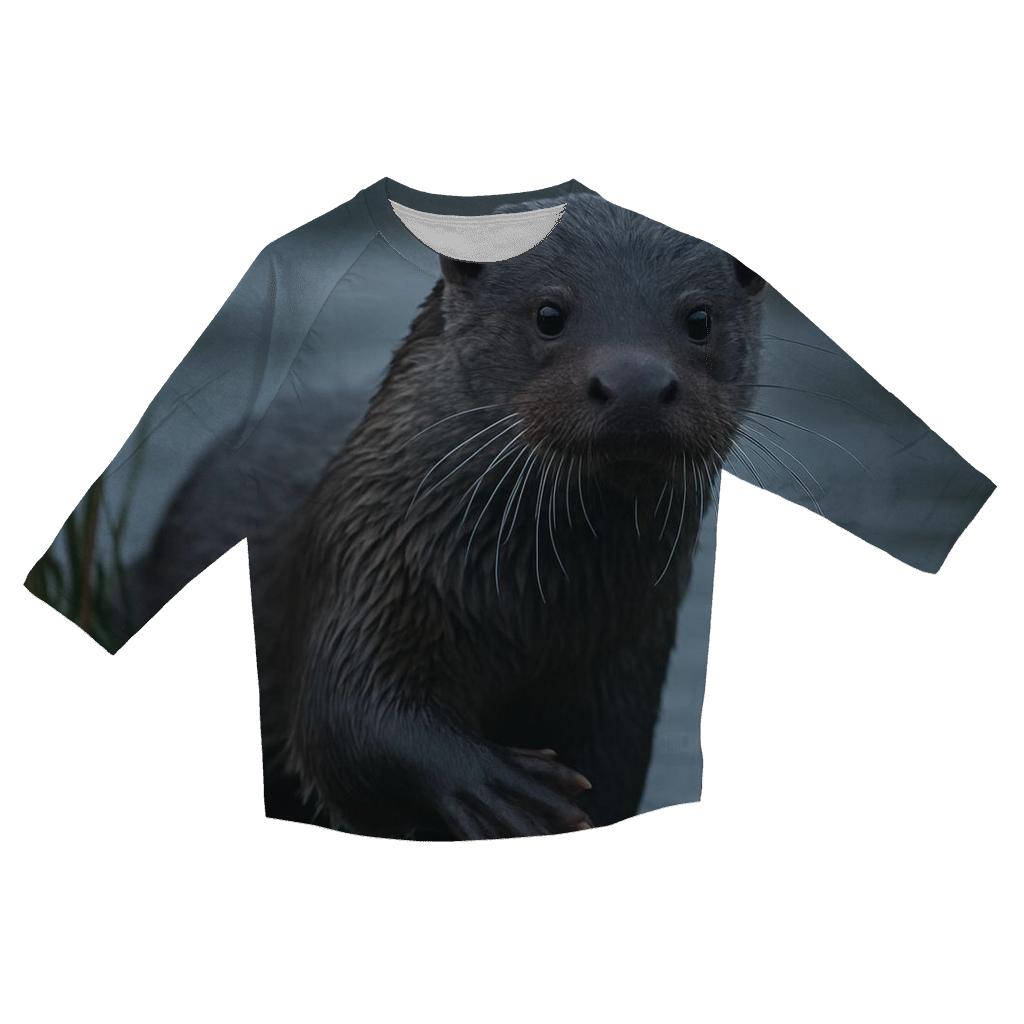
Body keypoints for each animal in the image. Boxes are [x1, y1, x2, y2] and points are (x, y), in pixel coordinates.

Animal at [140, 196, 765, 839]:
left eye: (699, 319)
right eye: (548, 313)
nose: (635, 383)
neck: (534, 612)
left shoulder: (626, 675)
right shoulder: (369, 568)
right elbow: (342, 718)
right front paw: (502, 789)